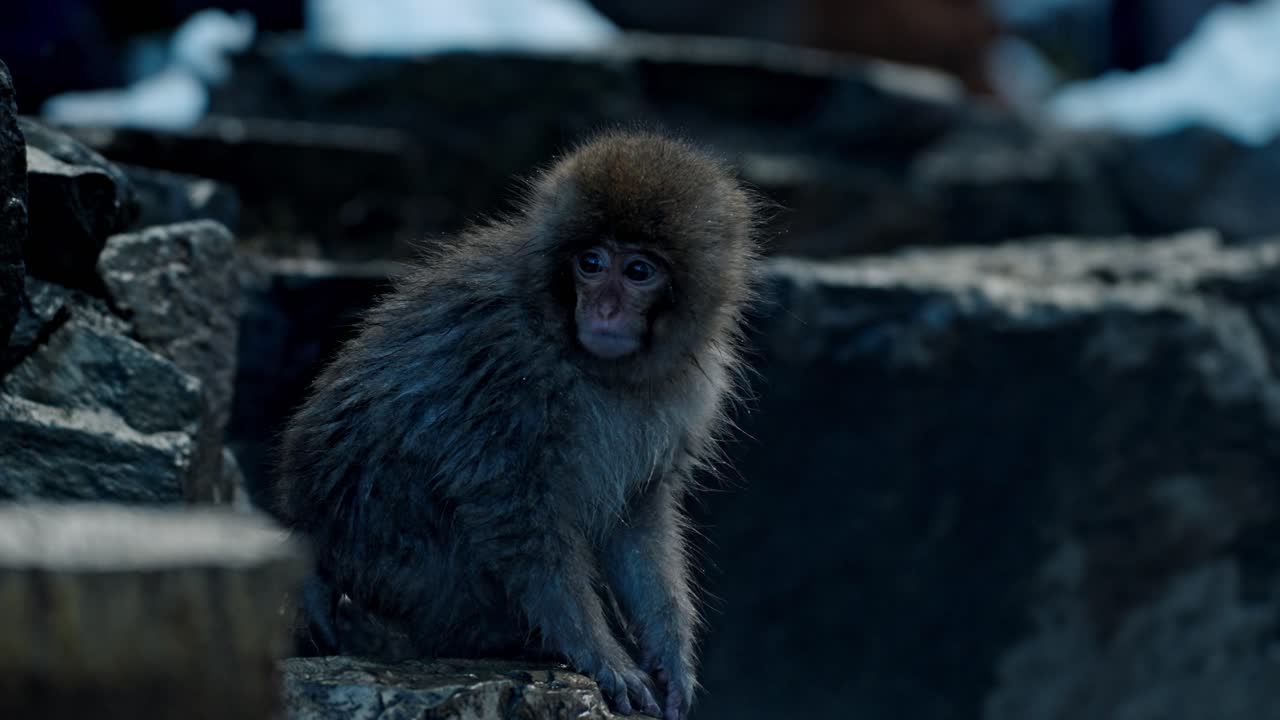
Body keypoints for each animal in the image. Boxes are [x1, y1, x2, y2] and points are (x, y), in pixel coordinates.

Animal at [273, 130, 761, 720]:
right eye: (591, 263)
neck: (593, 364)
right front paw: (598, 651)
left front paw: (669, 652)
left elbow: (638, 516)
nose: (603, 310)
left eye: (638, 271)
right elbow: (515, 513)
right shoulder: (507, 369)